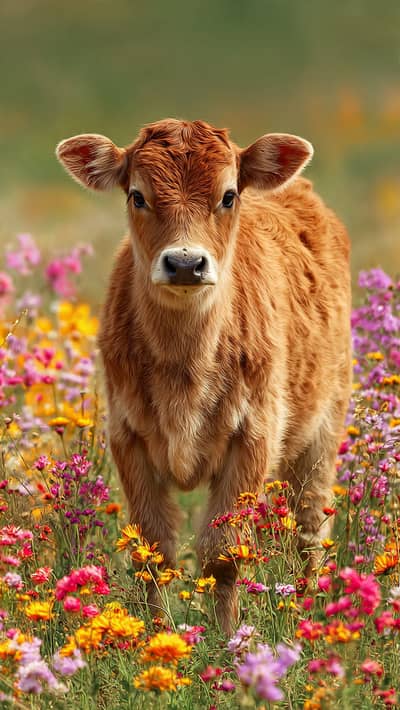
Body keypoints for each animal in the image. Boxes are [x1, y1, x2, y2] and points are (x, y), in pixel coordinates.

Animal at [56, 118, 352, 633]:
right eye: (137, 195)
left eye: (228, 195)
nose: (184, 263)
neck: (185, 367)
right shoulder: (127, 435)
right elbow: (153, 552)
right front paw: (153, 636)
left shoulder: (253, 437)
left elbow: (223, 556)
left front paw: (229, 639)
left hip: (322, 433)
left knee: (311, 531)